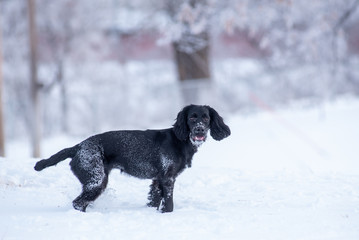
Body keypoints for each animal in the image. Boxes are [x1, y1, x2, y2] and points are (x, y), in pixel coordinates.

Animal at [33, 105, 231, 212]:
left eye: (206, 118)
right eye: (192, 118)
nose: (199, 130)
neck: (180, 140)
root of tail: (78, 146)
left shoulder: (157, 180)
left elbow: (154, 201)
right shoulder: (168, 179)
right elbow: (169, 203)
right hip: (96, 181)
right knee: (78, 203)